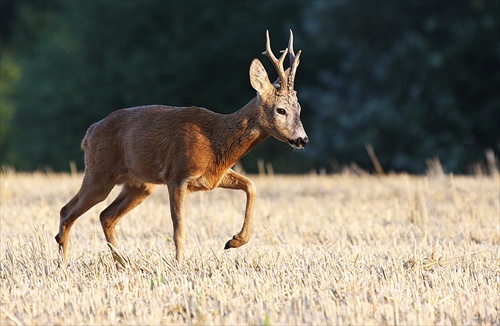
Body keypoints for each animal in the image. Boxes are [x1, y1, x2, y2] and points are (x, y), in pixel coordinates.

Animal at [53, 30, 304, 264]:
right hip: (100, 173)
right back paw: (63, 263)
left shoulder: (213, 177)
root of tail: (88, 133)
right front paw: (179, 265)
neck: (215, 141)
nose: (302, 139)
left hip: (139, 185)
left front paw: (234, 241)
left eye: (299, 109)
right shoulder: (177, 176)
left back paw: (124, 263)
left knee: (106, 216)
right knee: (67, 211)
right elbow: (179, 230)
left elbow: (251, 185)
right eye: (281, 110)